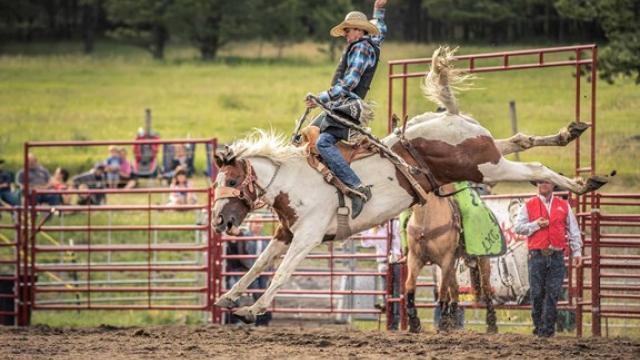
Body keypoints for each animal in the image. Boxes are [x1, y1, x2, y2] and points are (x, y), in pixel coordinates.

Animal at [212, 45, 608, 324]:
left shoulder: (307, 237)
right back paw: (569, 133)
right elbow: (257, 266)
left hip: (486, 167)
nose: (220, 221)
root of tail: (450, 117)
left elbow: (281, 273)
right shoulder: (286, 234)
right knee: (520, 140)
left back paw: (584, 182)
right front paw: (228, 298)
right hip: (486, 155)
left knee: (535, 166)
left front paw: (253, 309)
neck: (294, 181)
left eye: (231, 179)